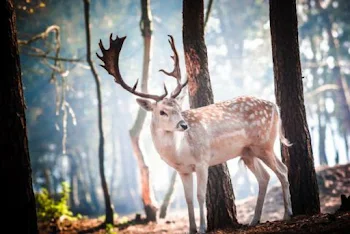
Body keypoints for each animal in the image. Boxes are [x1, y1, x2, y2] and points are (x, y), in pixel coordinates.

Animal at [97, 33, 294, 233]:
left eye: (179, 108)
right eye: (162, 112)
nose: (184, 125)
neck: (180, 152)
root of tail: (275, 106)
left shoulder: (202, 160)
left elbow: (200, 195)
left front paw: (202, 227)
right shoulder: (182, 170)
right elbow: (188, 198)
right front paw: (191, 229)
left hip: (264, 143)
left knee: (282, 170)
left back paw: (287, 214)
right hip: (248, 152)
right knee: (265, 177)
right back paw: (254, 220)